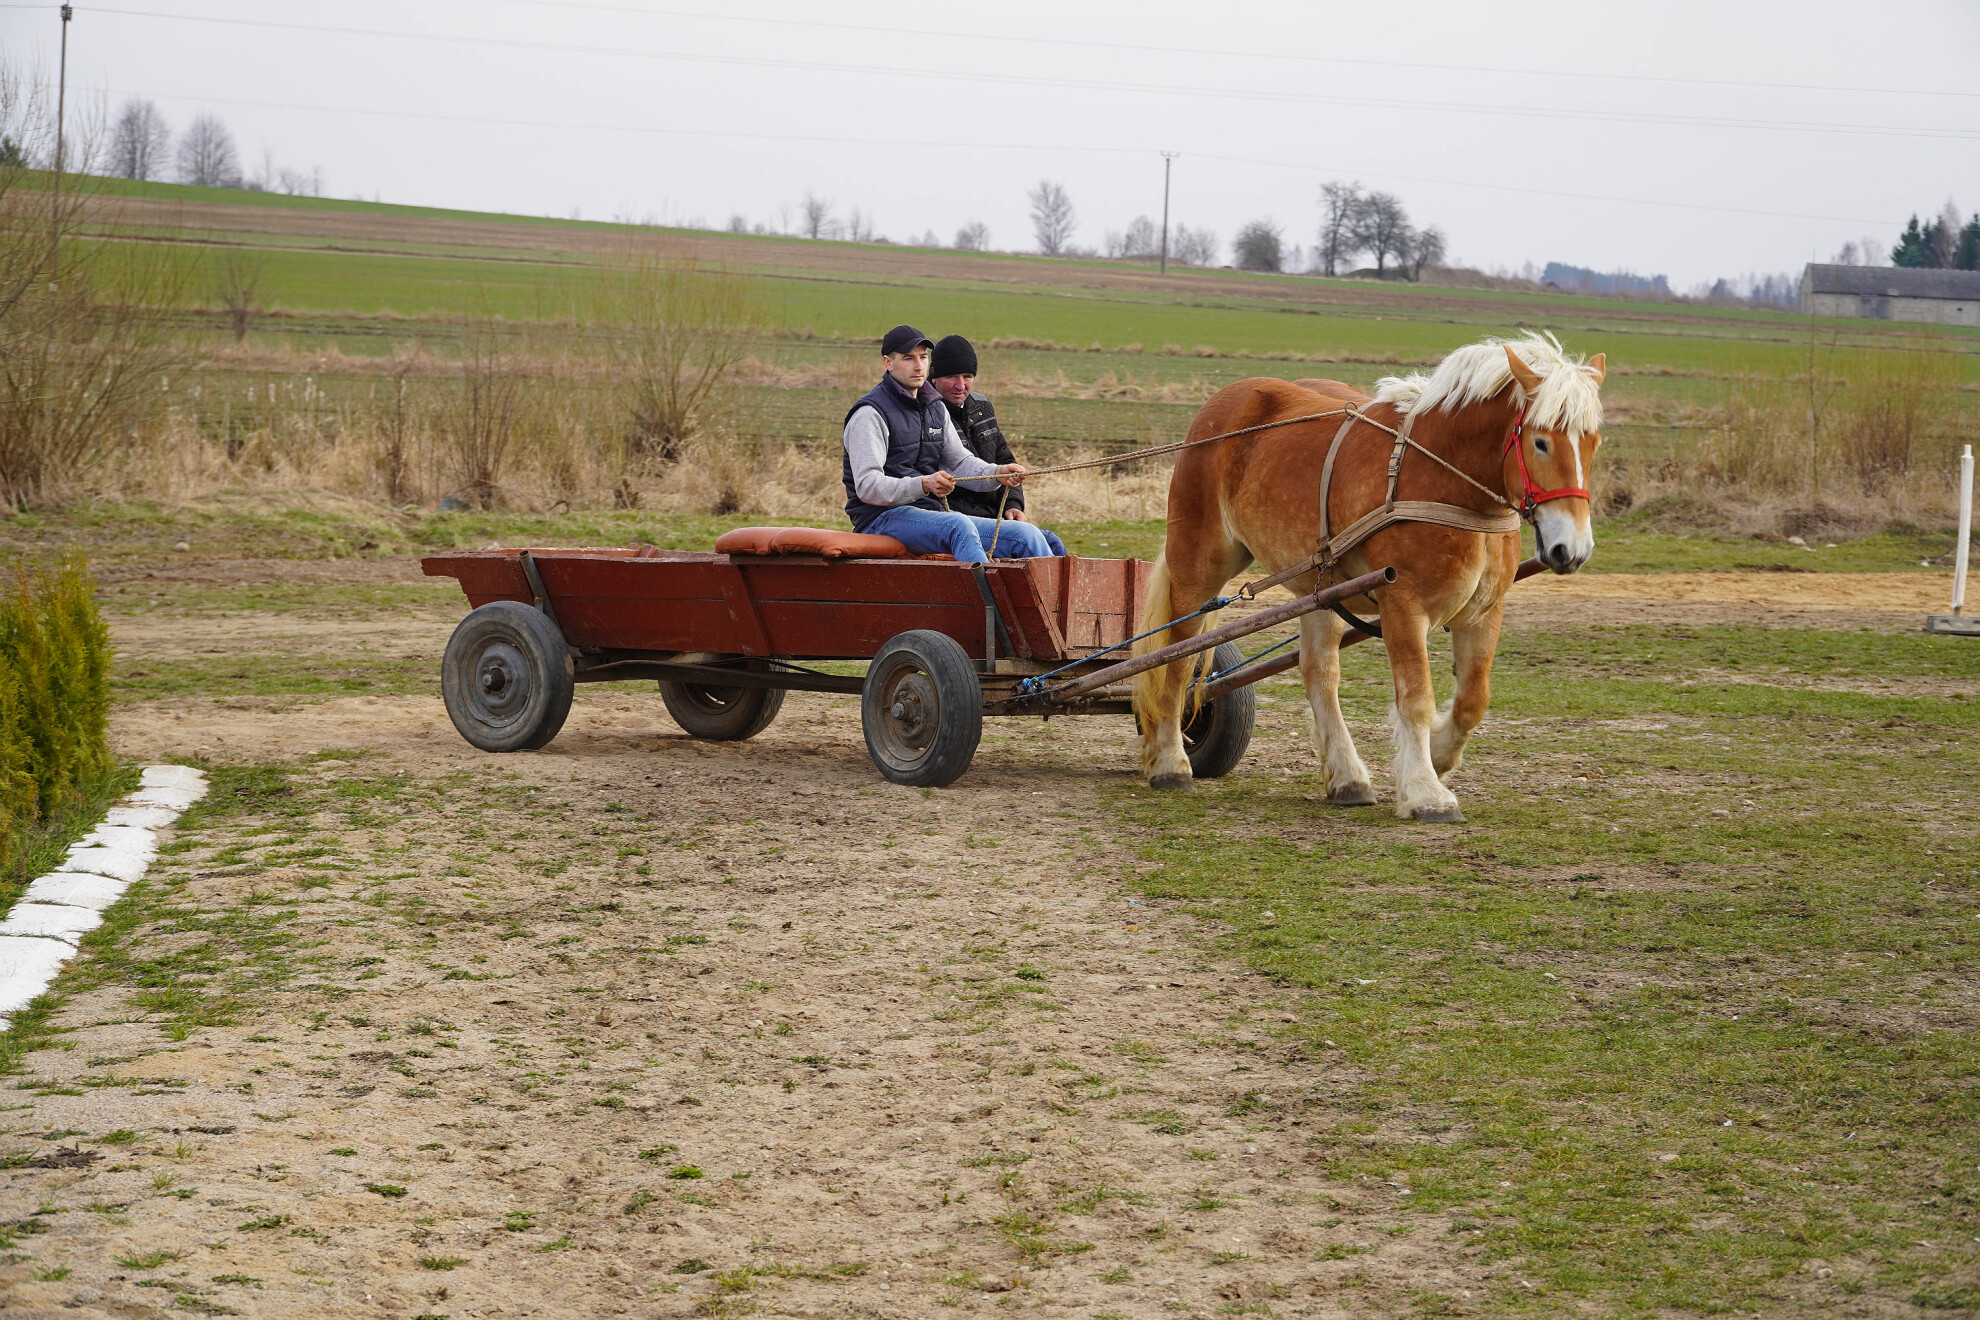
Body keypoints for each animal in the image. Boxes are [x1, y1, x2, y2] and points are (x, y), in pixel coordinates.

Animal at [1130, 332, 1606, 822]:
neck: (1442, 480)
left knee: (1319, 673)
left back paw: (1348, 779)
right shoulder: (1402, 603)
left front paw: (1437, 757)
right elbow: (1416, 698)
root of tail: (1225, 400)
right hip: (1199, 566)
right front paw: (1426, 792)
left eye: (1593, 442)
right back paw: (1170, 762)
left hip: (1319, 588)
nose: (1571, 549)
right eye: (1541, 442)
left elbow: (1473, 700)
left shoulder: (1484, 611)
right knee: (1176, 659)